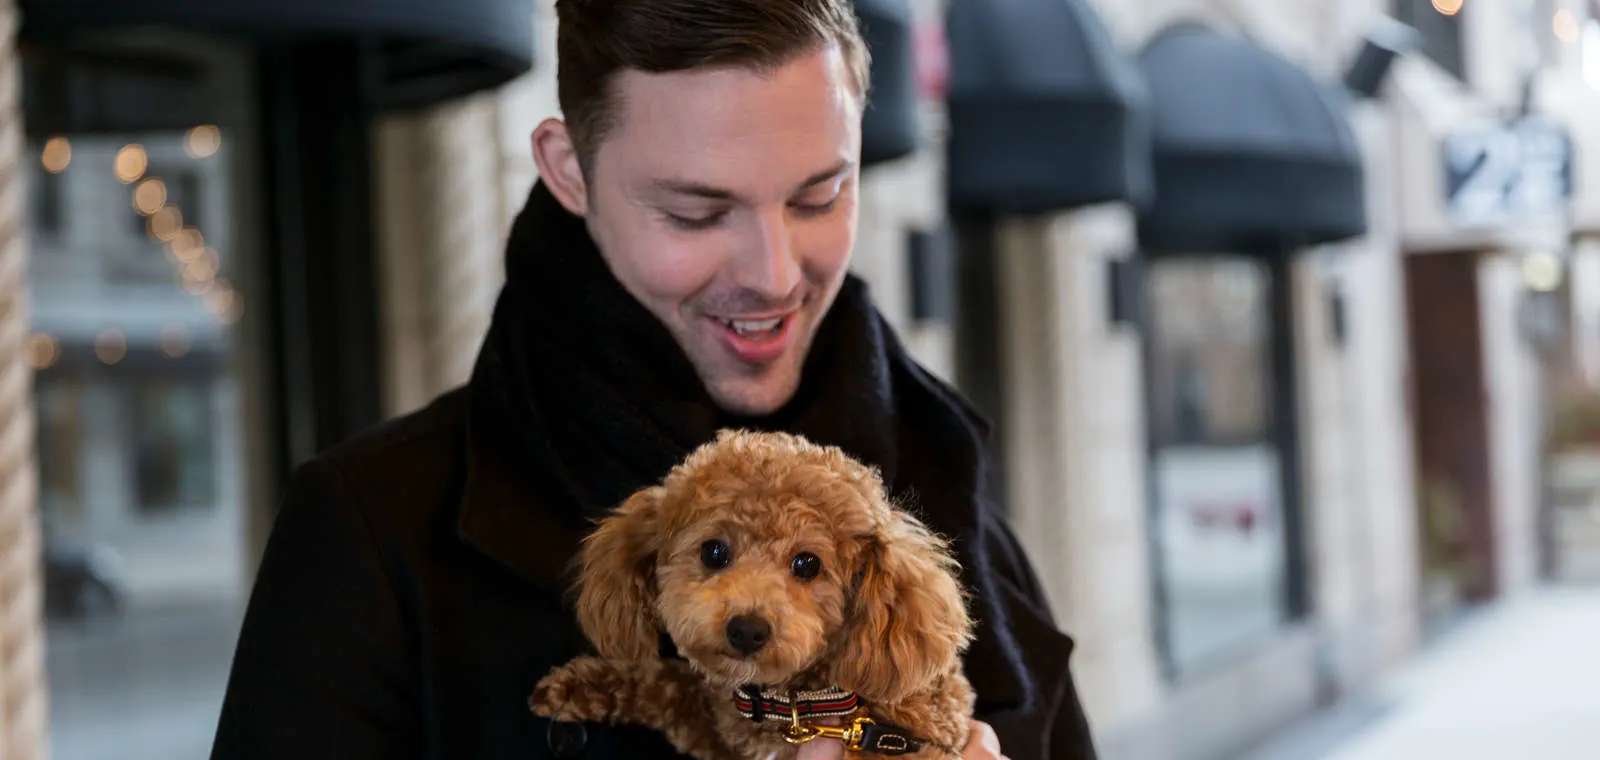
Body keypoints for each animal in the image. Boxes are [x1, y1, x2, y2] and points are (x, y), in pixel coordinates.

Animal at [531, 432, 972, 758]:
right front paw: (577, 686)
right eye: (713, 552)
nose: (746, 630)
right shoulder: (722, 730)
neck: (800, 705)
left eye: (808, 563)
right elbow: (668, 683)